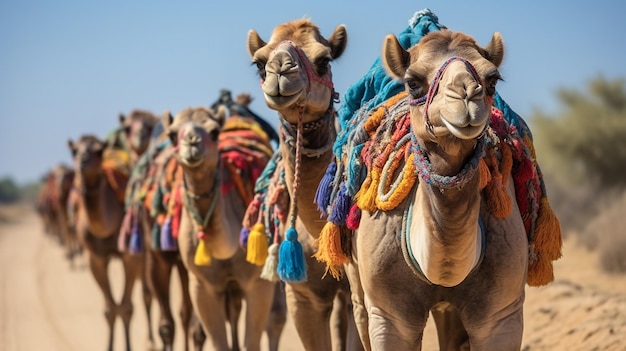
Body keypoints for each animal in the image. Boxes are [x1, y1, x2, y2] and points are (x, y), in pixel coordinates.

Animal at [67, 135, 144, 351]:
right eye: (74, 151)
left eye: (98, 151)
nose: (82, 160)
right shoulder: (95, 258)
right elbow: (110, 309)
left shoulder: (130, 256)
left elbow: (126, 308)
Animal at [163, 106, 286, 351]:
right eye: (171, 134)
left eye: (214, 132)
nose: (192, 141)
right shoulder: (202, 285)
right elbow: (220, 342)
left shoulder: (257, 283)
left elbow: (253, 341)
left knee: (276, 318)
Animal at [314, 26, 564, 350]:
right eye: (413, 83)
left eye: (492, 79)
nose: (466, 95)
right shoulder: (390, 315)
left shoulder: (501, 314)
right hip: (358, 286)